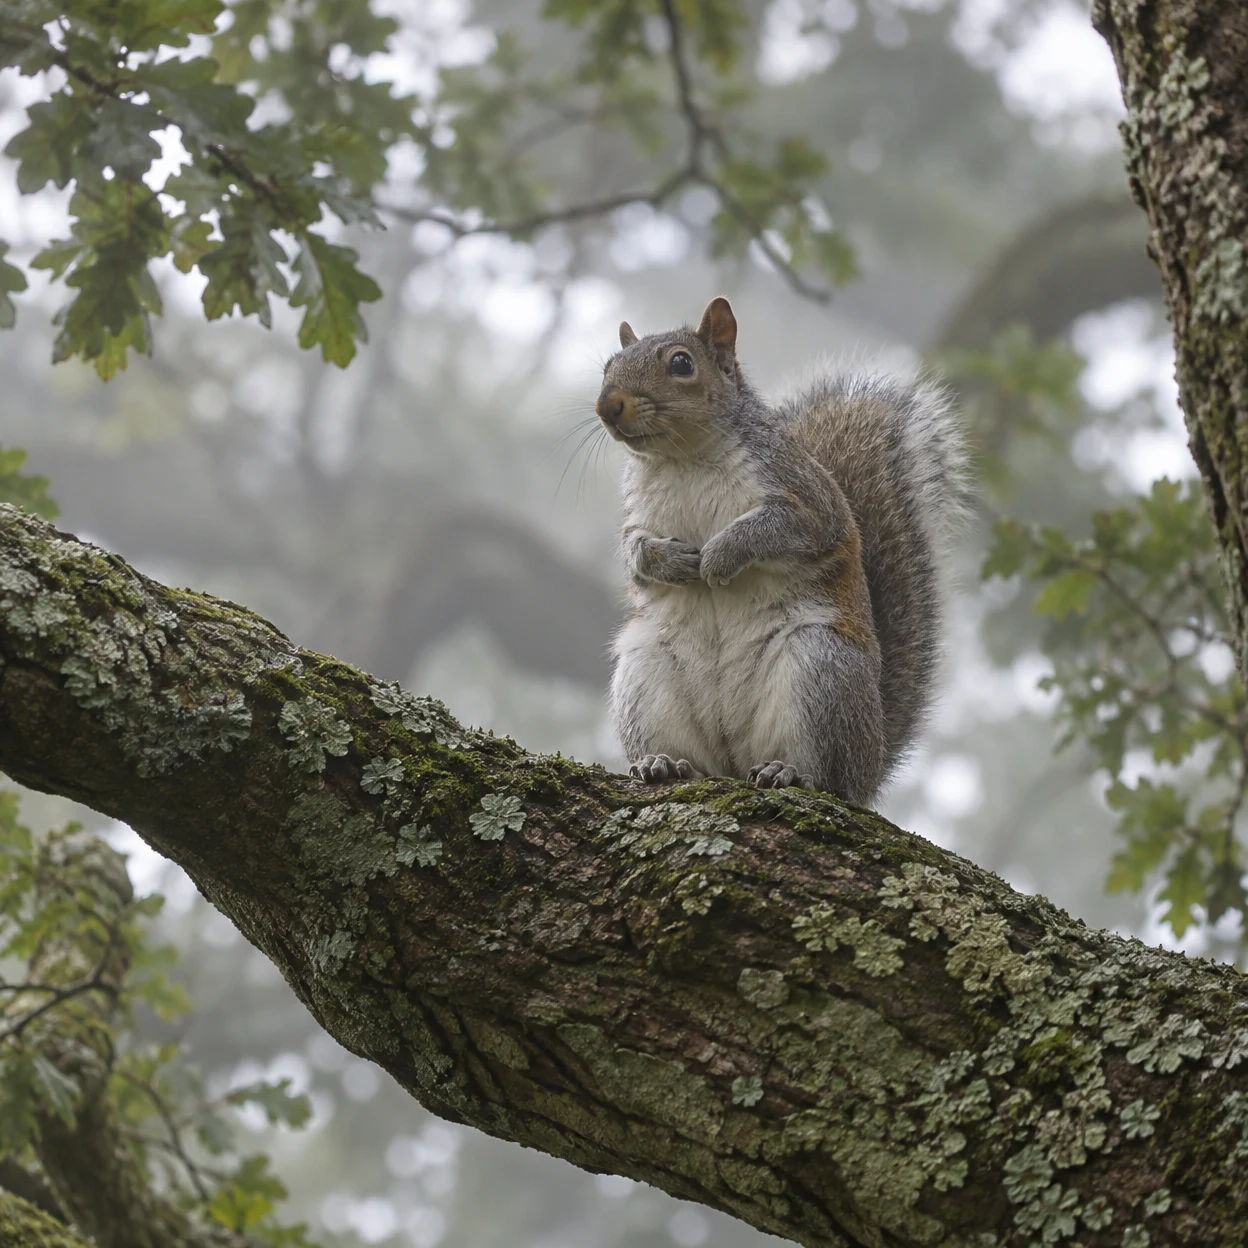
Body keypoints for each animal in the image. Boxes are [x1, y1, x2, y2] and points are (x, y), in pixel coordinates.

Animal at [596, 296, 967, 806]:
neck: (683, 458)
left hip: (820, 671)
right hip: (645, 673)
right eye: (607, 367)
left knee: (826, 775)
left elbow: (785, 528)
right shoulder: (636, 516)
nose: (607, 405)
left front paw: (721, 554)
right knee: (689, 758)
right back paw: (662, 763)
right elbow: (634, 556)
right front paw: (670, 561)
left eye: (681, 363)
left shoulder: (807, 497)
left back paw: (789, 773)